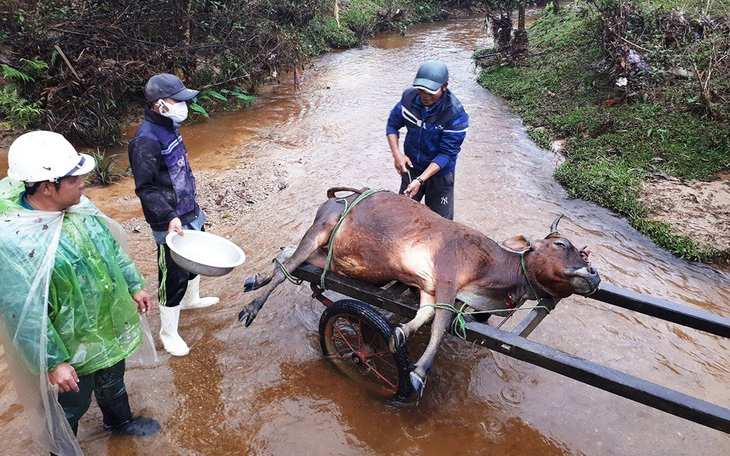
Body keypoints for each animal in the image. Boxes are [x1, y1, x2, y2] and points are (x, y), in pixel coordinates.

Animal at [239, 188, 596, 396]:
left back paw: (256, 278)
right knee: (289, 266)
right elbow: (439, 326)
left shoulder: (429, 287)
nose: (593, 273)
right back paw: (253, 306)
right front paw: (418, 373)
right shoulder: (448, 277)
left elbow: (424, 315)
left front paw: (400, 333)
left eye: (582, 252)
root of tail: (336, 196)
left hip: (332, 257)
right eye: (561, 245)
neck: (491, 271)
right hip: (322, 228)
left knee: (287, 256)